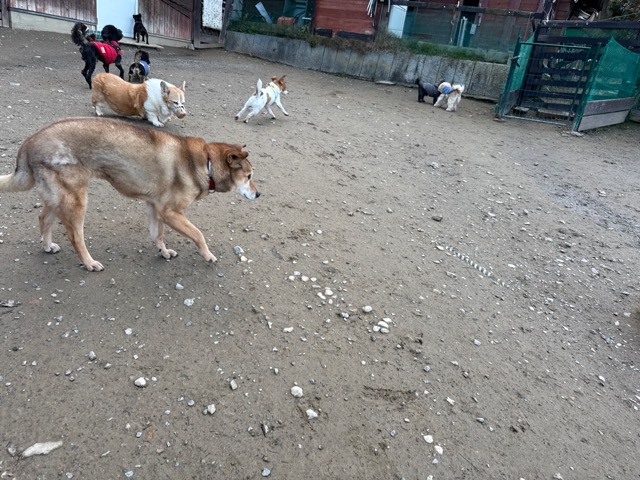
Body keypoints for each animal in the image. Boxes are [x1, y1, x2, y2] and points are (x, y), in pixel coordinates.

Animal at [0, 117, 259, 272]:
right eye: (248, 176)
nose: (258, 195)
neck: (206, 162)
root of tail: (28, 144)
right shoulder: (171, 212)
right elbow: (198, 234)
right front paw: (207, 255)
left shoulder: (156, 208)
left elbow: (157, 234)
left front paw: (163, 251)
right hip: (76, 201)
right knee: (75, 236)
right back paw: (89, 262)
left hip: (59, 199)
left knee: (43, 217)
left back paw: (47, 246)